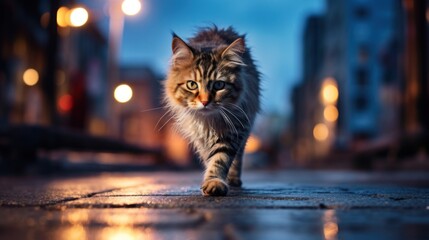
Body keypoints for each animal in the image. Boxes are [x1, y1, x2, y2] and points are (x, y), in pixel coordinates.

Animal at [162, 26, 260, 196]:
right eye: (192, 85)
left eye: (219, 85)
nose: (205, 101)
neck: (209, 122)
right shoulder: (200, 135)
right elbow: (210, 158)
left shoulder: (234, 129)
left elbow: (220, 158)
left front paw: (214, 182)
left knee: (238, 157)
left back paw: (234, 180)